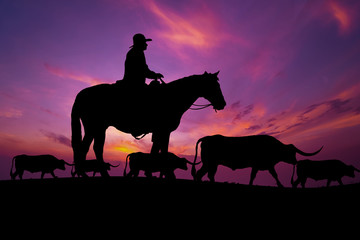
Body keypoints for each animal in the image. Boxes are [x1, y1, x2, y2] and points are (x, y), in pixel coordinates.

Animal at [71, 71, 226, 176]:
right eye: (214, 85)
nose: (223, 104)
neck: (173, 97)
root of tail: (82, 94)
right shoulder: (164, 131)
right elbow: (163, 152)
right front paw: (167, 174)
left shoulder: (158, 132)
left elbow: (154, 151)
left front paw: (152, 173)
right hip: (94, 127)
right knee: (87, 148)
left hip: (98, 128)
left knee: (92, 148)